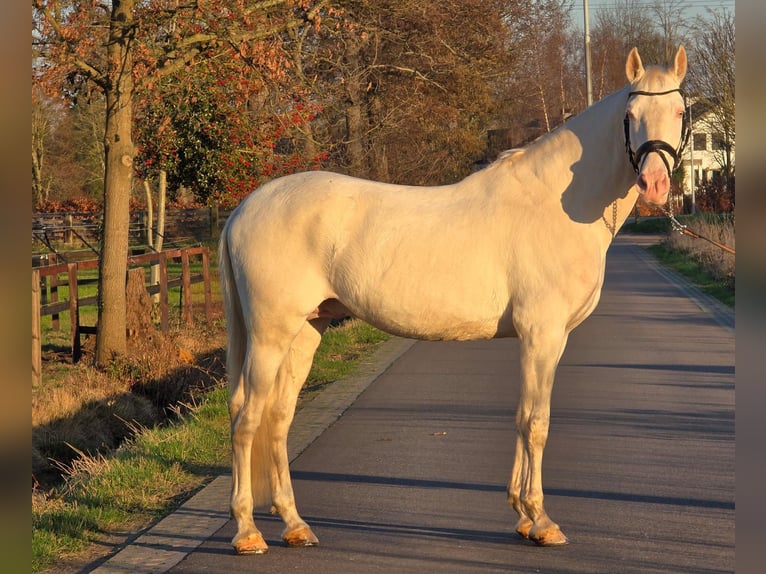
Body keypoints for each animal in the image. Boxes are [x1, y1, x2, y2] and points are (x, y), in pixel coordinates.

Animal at [218, 46, 689, 554]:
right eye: (630, 115)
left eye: (680, 112)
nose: (655, 183)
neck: (554, 203)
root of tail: (243, 210)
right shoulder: (542, 335)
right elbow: (536, 421)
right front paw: (541, 520)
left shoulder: (535, 338)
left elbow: (521, 417)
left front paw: (521, 516)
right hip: (271, 333)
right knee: (247, 417)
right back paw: (247, 532)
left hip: (307, 328)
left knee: (279, 417)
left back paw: (294, 525)